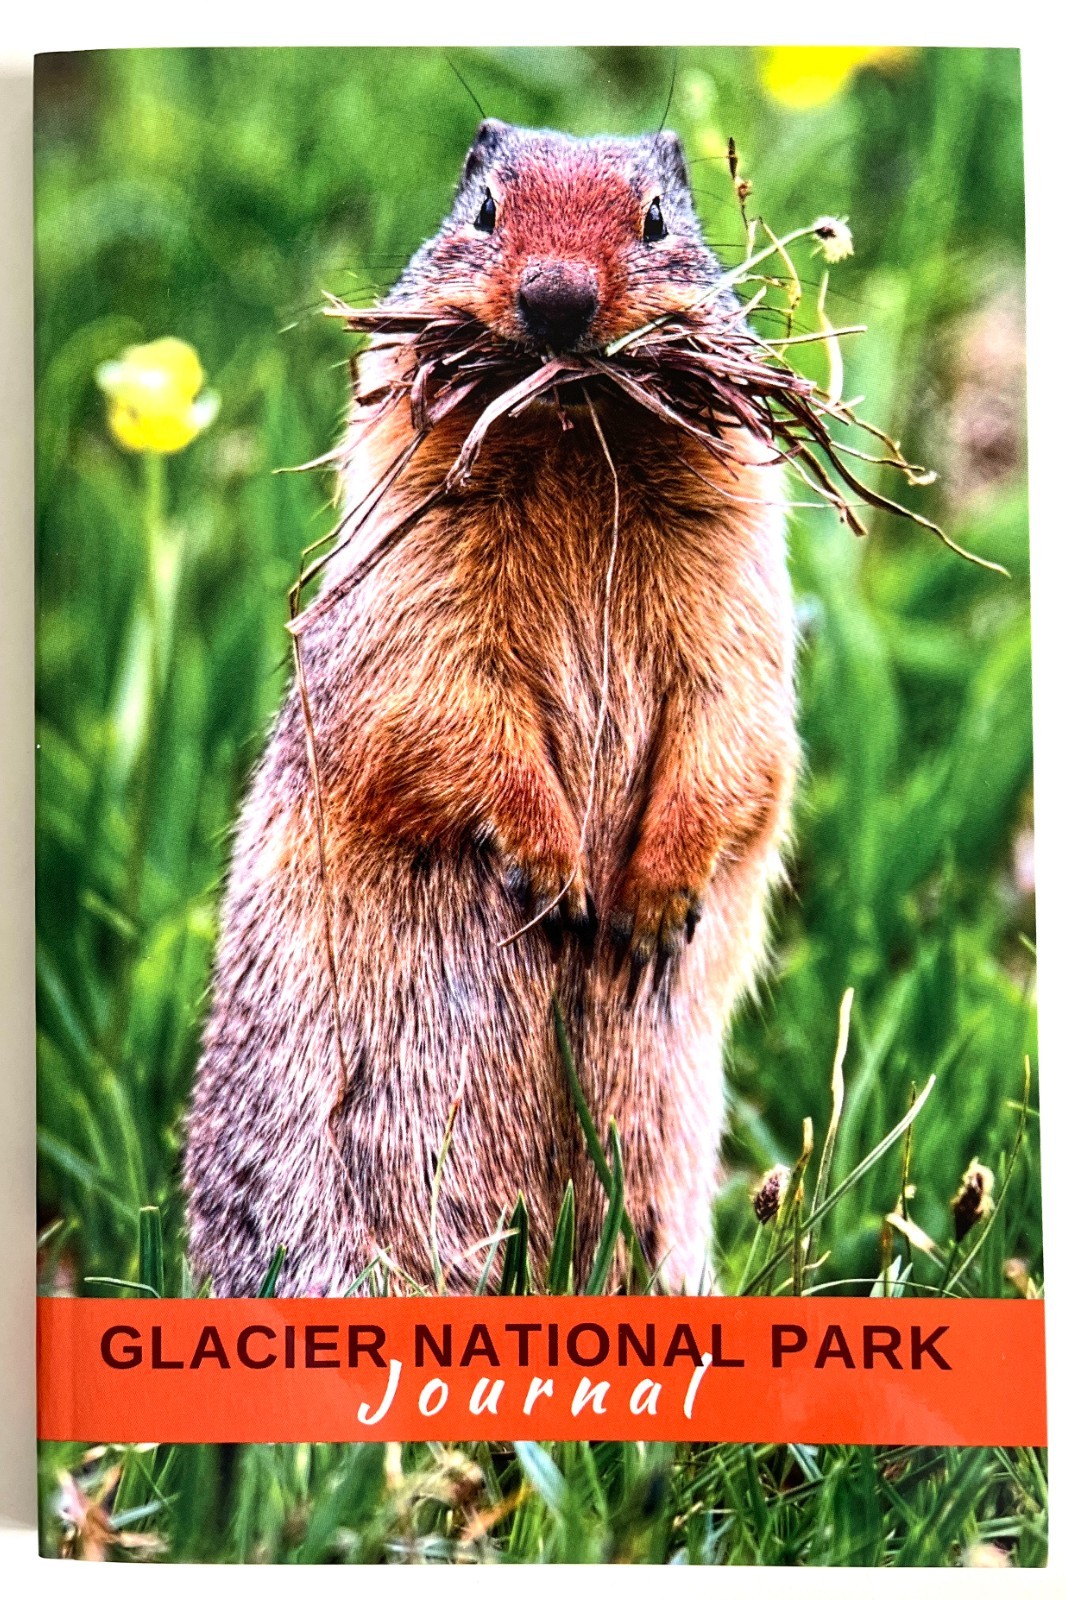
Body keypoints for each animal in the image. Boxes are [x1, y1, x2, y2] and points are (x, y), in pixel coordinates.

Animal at [184, 121, 799, 1296]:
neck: (576, 439)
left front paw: (652, 903)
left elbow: (735, 715)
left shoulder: (740, 568)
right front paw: (554, 873)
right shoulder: (409, 569)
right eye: (484, 211)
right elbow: (443, 694)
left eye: (657, 218)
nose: (557, 300)